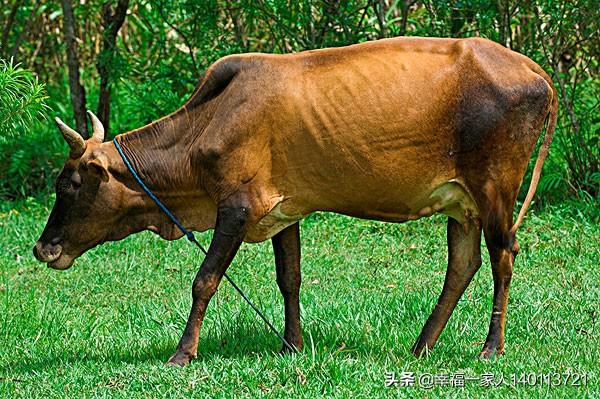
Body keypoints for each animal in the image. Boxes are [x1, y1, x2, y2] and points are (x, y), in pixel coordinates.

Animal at [32, 36, 556, 366]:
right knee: (462, 264)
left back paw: (491, 347)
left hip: (495, 190)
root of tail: (533, 69)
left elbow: (204, 280)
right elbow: (290, 279)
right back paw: (421, 345)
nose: (43, 248)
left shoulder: (236, 208)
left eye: (68, 184)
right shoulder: (285, 212)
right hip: (461, 202)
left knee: (503, 257)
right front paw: (291, 345)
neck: (210, 122)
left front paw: (182, 353)